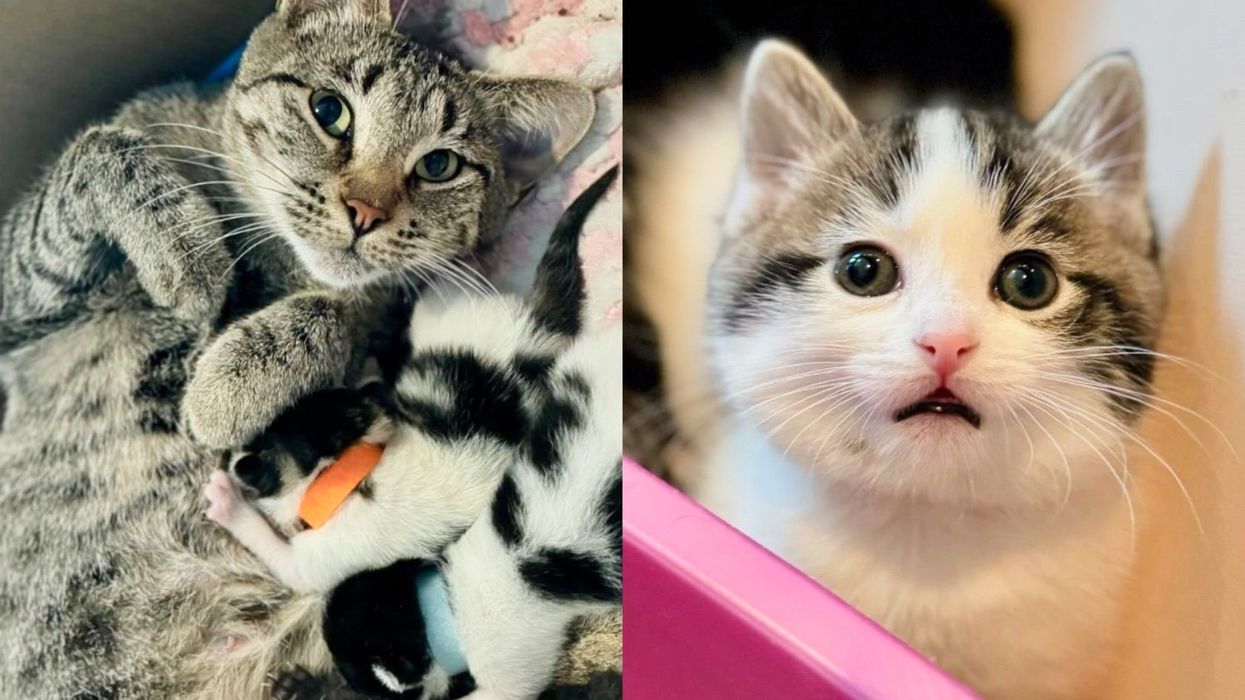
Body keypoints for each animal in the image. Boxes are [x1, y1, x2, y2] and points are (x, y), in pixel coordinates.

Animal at [0, 2, 595, 692]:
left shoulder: (380, 320)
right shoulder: (18, 306)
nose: (364, 211)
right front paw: (186, 251)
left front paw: (224, 386)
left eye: (438, 166)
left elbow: (337, 309)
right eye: (329, 110)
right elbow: (103, 150)